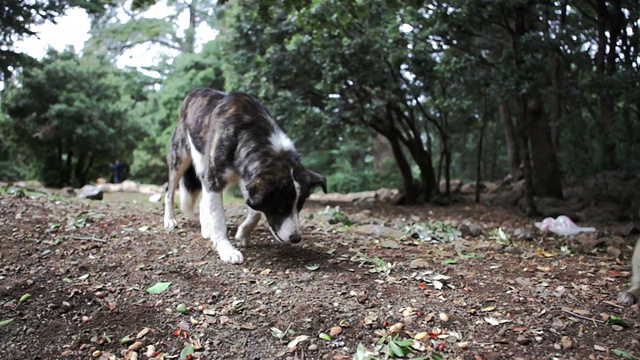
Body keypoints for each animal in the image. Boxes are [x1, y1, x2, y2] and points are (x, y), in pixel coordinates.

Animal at [162, 89, 328, 264]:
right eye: (281, 207)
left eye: (300, 206)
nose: (296, 238)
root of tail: (194, 92)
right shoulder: (215, 180)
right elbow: (219, 219)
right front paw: (226, 249)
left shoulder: (248, 179)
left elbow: (255, 212)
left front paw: (243, 234)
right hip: (180, 158)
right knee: (169, 191)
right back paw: (170, 220)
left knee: (203, 200)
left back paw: (206, 230)